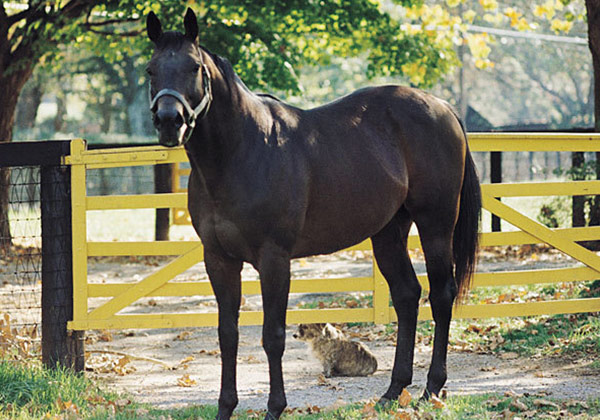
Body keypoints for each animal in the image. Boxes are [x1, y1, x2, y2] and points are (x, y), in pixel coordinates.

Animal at [146, 9, 482, 420]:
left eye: (194, 67)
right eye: (150, 70)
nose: (169, 120)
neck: (241, 152)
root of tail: (443, 107)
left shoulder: (274, 259)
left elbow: (272, 336)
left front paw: (275, 408)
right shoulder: (219, 259)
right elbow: (228, 335)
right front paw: (225, 408)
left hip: (435, 225)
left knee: (441, 295)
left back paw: (431, 388)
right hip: (388, 232)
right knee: (406, 295)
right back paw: (392, 392)